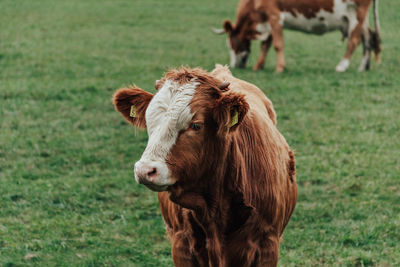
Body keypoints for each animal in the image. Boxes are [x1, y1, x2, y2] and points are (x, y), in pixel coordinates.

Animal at [212, 0, 382, 73]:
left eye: (230, 44)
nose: (233, 65)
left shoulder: (275, 16)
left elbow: (277, 45)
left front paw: (280, 68)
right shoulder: (269, 21)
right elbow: (266, 45)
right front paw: (258, 66)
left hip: (357, 15)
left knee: (354, 40)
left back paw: (342, 66)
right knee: (369, 39)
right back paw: (363, 67)